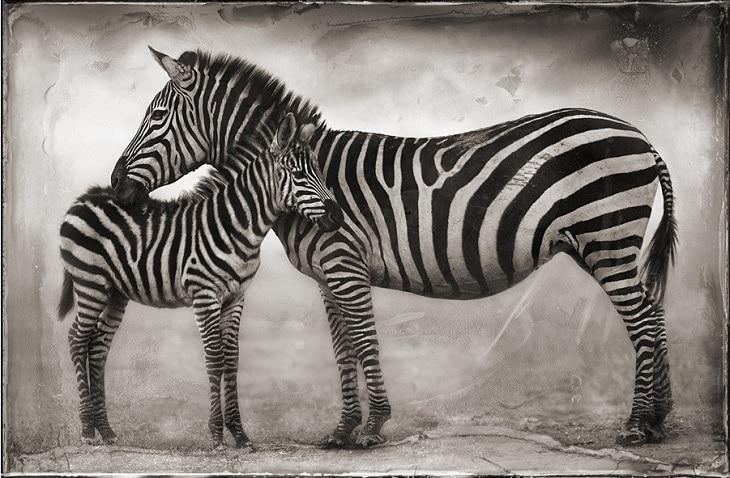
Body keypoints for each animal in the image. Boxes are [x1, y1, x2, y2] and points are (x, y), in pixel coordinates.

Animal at [57, 112, 343, 448]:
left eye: (319, 172)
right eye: (298, 175)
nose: (337, 217)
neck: (237, 225)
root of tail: (84, 198)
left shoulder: (236, 297)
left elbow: (232, 359)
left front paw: (239, 434)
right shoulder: (205, 294)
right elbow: (215, 357)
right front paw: (217, 434)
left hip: (114, 291)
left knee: (98, 345)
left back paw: (106, 430)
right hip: (90, 282)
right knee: (78, 339)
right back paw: (87, 429)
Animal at [111, 48, 677, 448]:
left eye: (156, 118)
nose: (116, 186)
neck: (300, 178)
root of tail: (639, 133)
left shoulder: (344, 264)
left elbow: (364, 340)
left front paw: (372, 427)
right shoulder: (328, 275)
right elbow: (343, 348)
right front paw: (343, 431)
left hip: (606, 236)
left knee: (642, 321)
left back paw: (636, 424)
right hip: (600, 244)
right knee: (654, 310)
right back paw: (660, 420)